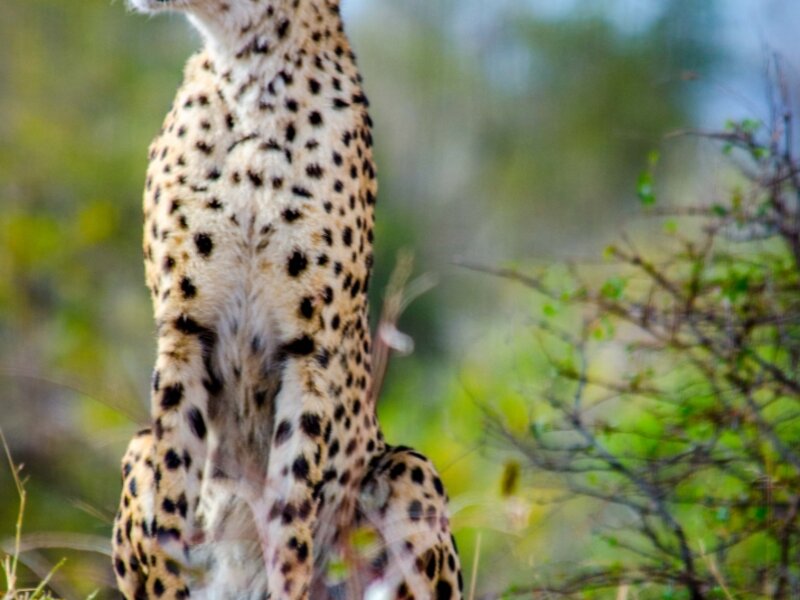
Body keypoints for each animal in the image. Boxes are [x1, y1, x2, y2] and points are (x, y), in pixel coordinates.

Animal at [110, 1, 463, 598]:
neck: (250, 71)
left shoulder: (309, 353)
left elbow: (291, 523)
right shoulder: (183, 331)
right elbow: (171, 501)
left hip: (409, 470)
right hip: (138, 448)